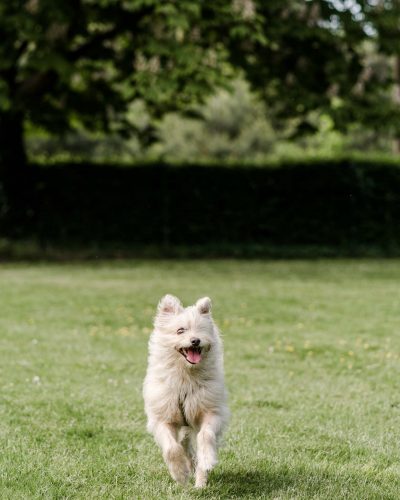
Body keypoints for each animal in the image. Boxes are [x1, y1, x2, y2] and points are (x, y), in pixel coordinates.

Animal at [144, 294, 228, 486]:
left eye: (201, 329)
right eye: (180, 330)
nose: (195, 340)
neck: (186, 376)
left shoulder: (212, 411)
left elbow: (205, 435)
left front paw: (206, 460)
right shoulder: (163, 418)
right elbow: (171, 448)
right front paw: (180, 473)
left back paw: (200, 483)